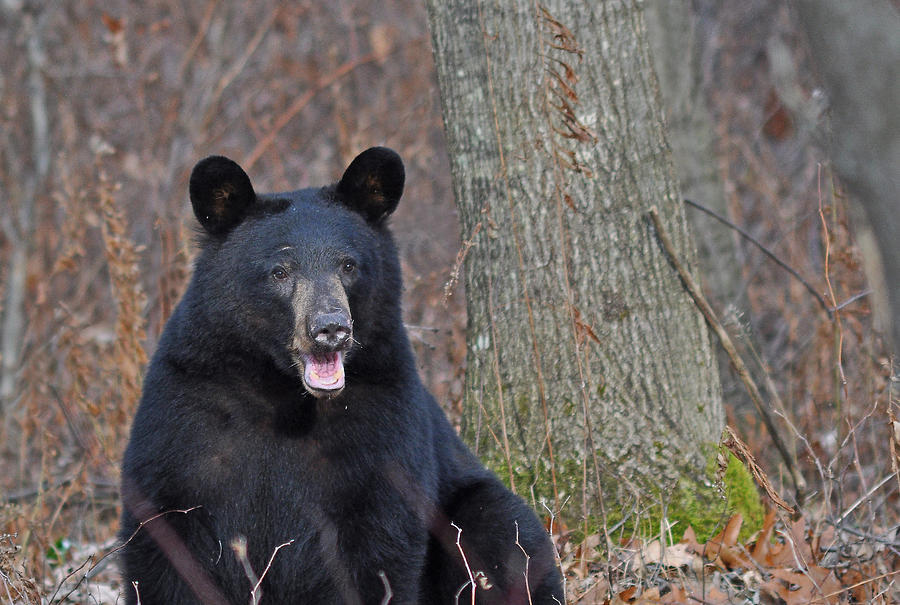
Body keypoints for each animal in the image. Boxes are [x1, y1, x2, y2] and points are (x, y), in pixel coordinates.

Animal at [121, 147, 564, 604]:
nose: (330, 327)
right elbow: (167, 545)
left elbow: (377, 544)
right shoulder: (186, 415)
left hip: (473, 505)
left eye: (349, 265)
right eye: (280, 271)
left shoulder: (382, 418)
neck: (283, 395)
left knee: (506, 541)